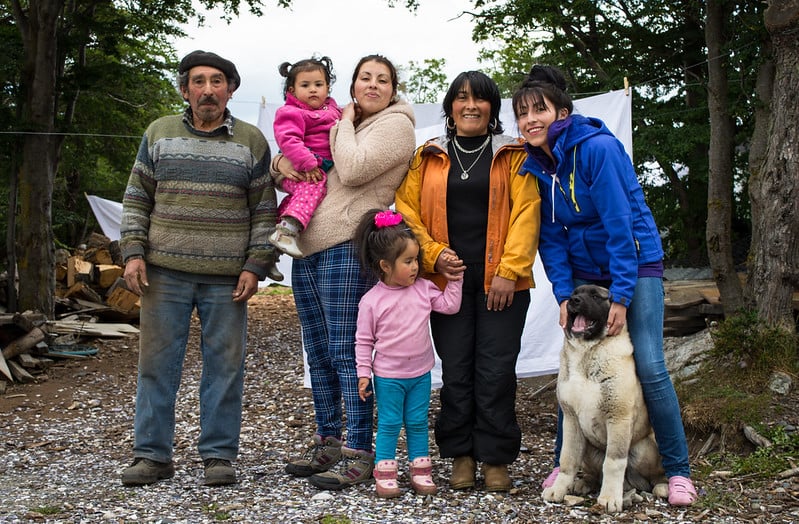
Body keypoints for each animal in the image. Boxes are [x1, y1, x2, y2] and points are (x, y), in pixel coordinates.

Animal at [544, 284, 668, 510]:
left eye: (595, 296)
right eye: (574, 293)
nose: (573, 301)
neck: (587, 351)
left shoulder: (618, 419)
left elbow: (613, 463)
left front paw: (610, 497)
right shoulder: (571, 420)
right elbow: (567, 460)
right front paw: (558, 489)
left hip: (644, 449)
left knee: (655, 473)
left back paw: (663, 486)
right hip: (588, 451)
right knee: (592, 471)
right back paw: (584, 482)